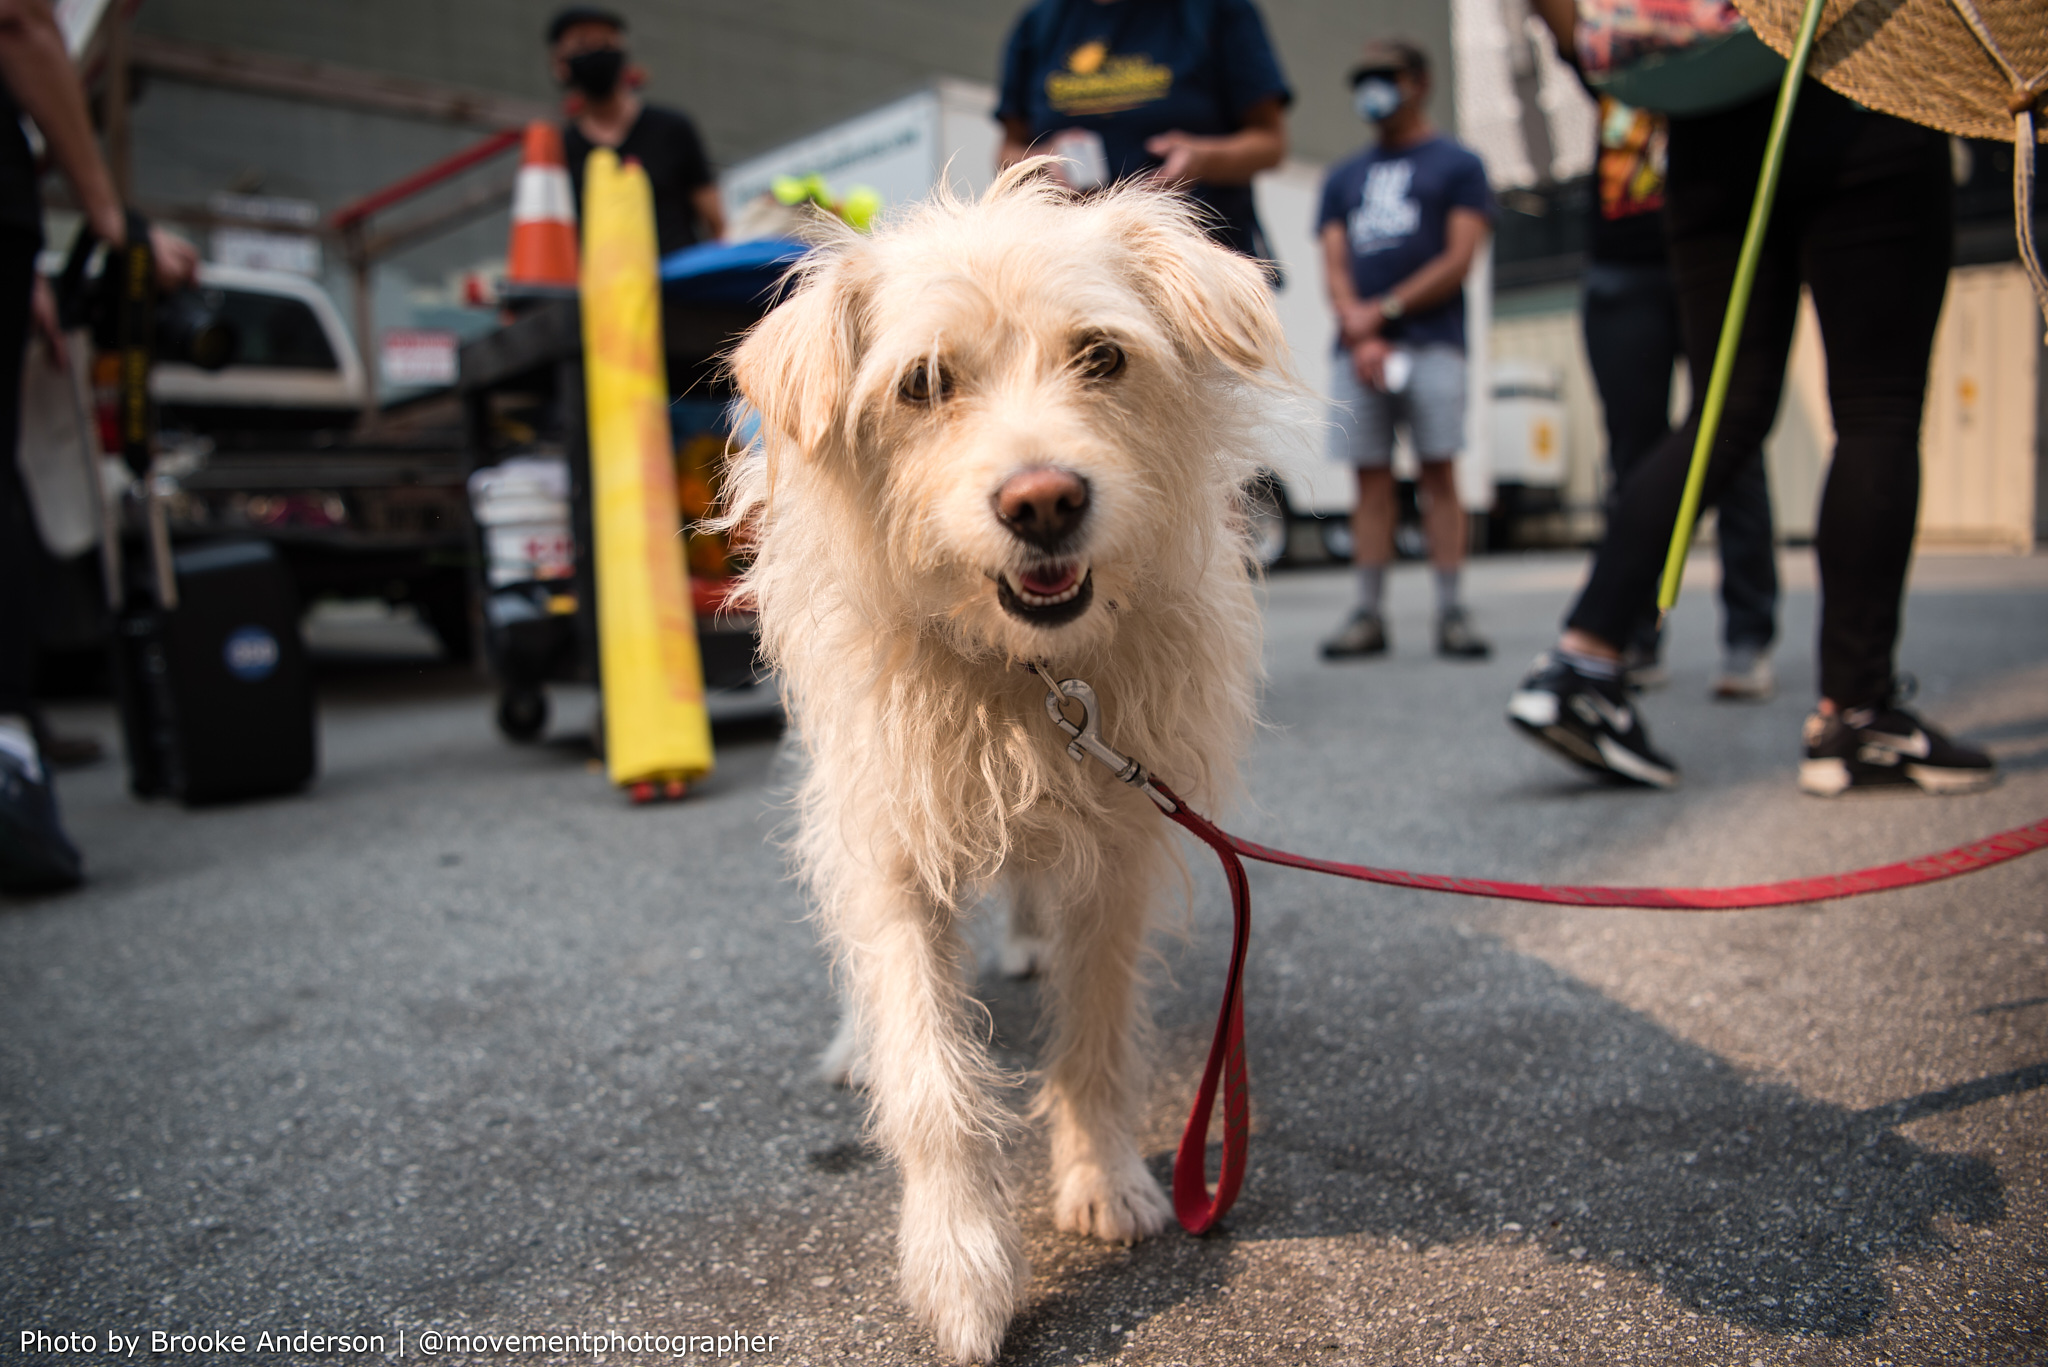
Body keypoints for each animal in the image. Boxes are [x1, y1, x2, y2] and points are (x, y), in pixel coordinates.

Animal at [729, 166, 1286, 1360]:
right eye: (924, 382)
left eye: (1101, 356)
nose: (1043, 501)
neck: (1025, 677)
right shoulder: (889, 846)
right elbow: (930, 1072)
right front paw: (959, 1262)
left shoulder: (1117, 840)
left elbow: (1098, 1025)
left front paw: (1100, 1172)